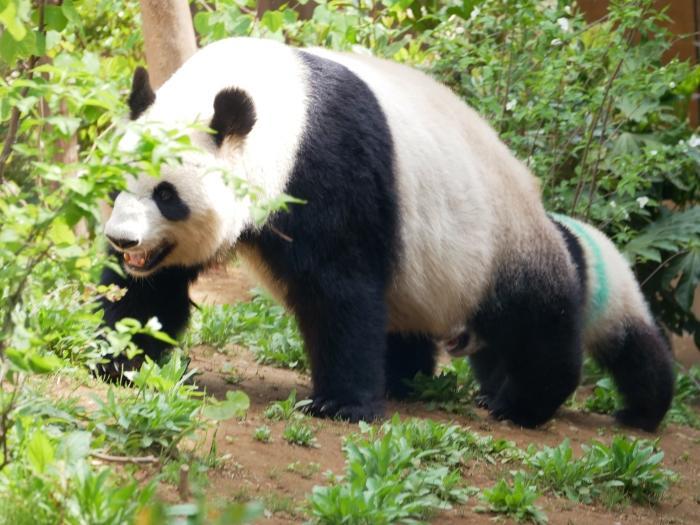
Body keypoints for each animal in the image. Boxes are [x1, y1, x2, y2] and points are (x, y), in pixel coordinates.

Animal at [101, 36, 676, 430]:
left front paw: (339, 403)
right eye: (116, 185)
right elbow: (151, 290)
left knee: (535, 319)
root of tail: (537, 198)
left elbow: (340, 286)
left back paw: (527, 403)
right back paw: (406, 381)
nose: (124, 241)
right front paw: (118, 361)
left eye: (168, 195)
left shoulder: (328, 165)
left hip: (501, 242)